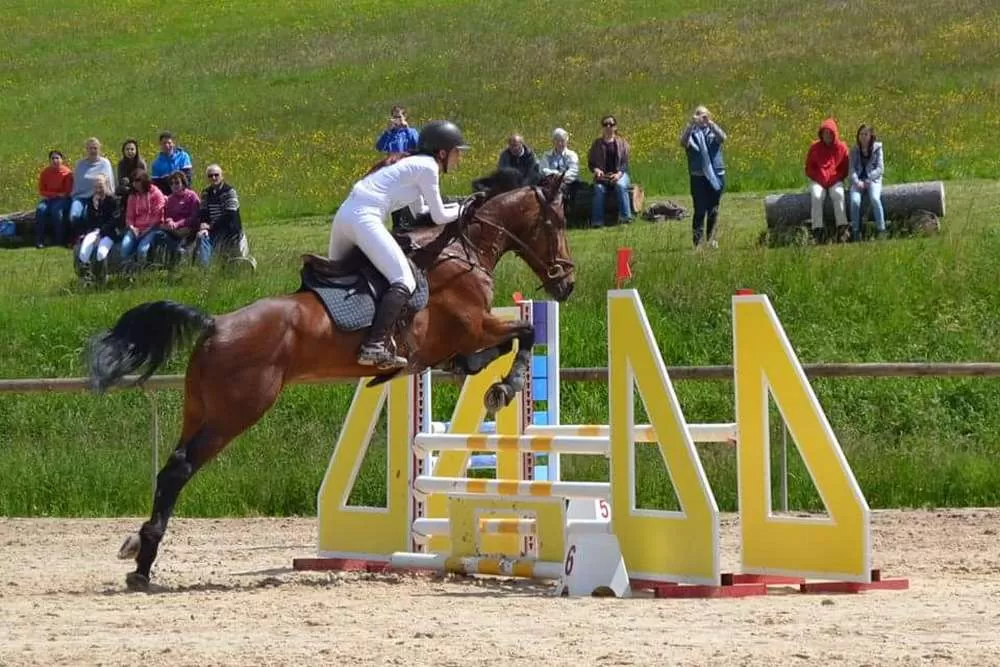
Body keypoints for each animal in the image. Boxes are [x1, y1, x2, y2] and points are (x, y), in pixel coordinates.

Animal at [84, 169, 576, 591]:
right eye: (555, 221)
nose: (566, 283)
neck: (462, 253)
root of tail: (215, 324)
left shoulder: (460, 341)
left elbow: (489, 353)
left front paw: (484, 378)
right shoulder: (472, 327)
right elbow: (524, 333)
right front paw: (504, 387)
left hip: (200, 408)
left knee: (171, 467)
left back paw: (140, 553)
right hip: (236, 412)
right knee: (181, 468)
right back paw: (144, 563)